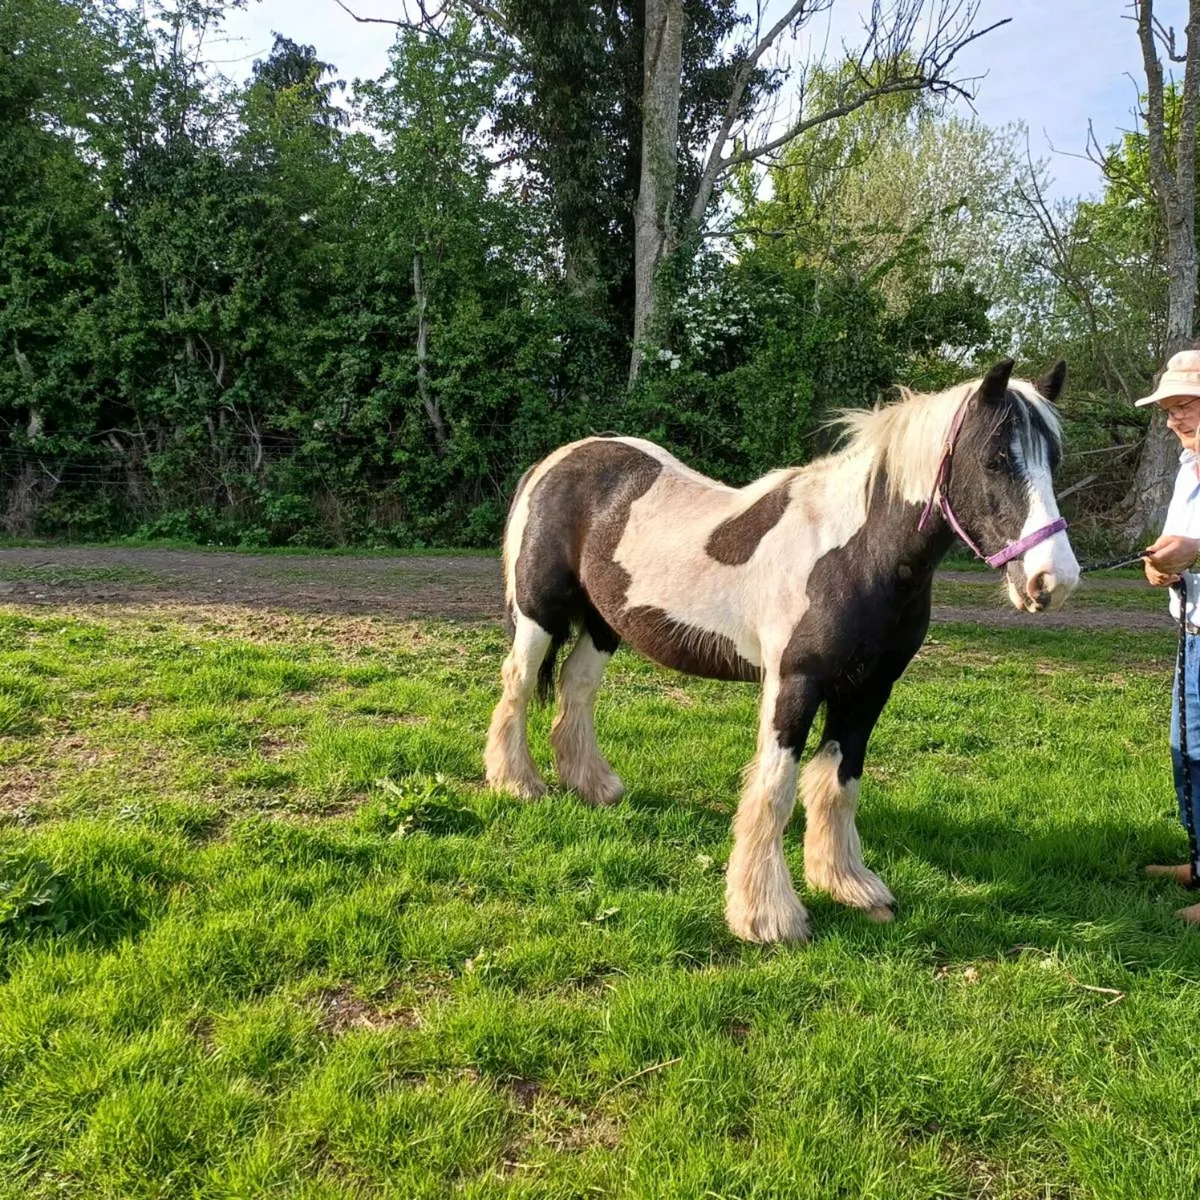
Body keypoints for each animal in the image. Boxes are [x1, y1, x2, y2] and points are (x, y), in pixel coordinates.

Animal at [484, 359, 1079, 943]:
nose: (1054, 580)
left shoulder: (869, 689)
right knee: (518, 683)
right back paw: (518, 783)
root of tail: (557, 460)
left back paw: (593, 786)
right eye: (995, 459)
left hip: (605, 625)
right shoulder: (795, 682)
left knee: (577, 688)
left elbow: (841, 782)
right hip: (539, 615)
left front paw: (848, 885)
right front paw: (767, 916)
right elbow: (775, 788)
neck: (855, 557)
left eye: (1053, 459)